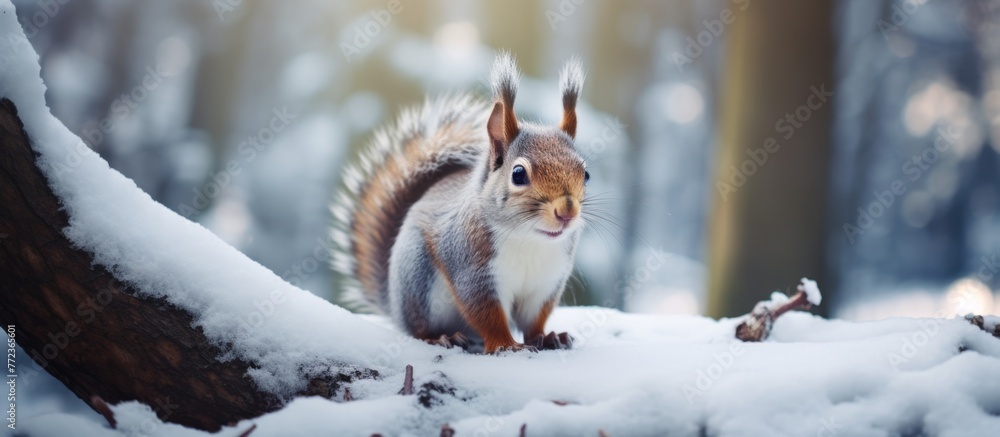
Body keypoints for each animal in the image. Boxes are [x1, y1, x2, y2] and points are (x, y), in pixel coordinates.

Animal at [332, 52, 588, 352]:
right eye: (518, 174)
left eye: (586, 174)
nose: (567, 212)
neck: (530, 239)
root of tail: (393, 305)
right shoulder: (471, 270)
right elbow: (486, 313)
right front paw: (505, 344)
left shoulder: (546, 282)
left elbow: (534, 319)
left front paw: (546, 337)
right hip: (417, 278)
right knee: (417, 328)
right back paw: (440, 337)